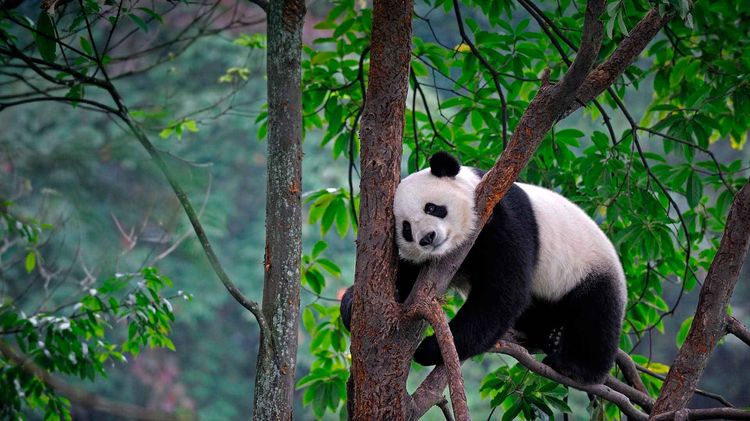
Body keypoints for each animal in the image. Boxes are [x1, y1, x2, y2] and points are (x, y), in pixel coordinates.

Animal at [342, 151, 627, 384]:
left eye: (432, 208)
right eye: (406, 229)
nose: (428, 238)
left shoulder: (502, 218)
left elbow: (502, 293)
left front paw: (430, 348)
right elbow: (408, 278)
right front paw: (352, 304)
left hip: (588, 266)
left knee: (596, 313)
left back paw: (574, 366)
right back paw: (547, 335)